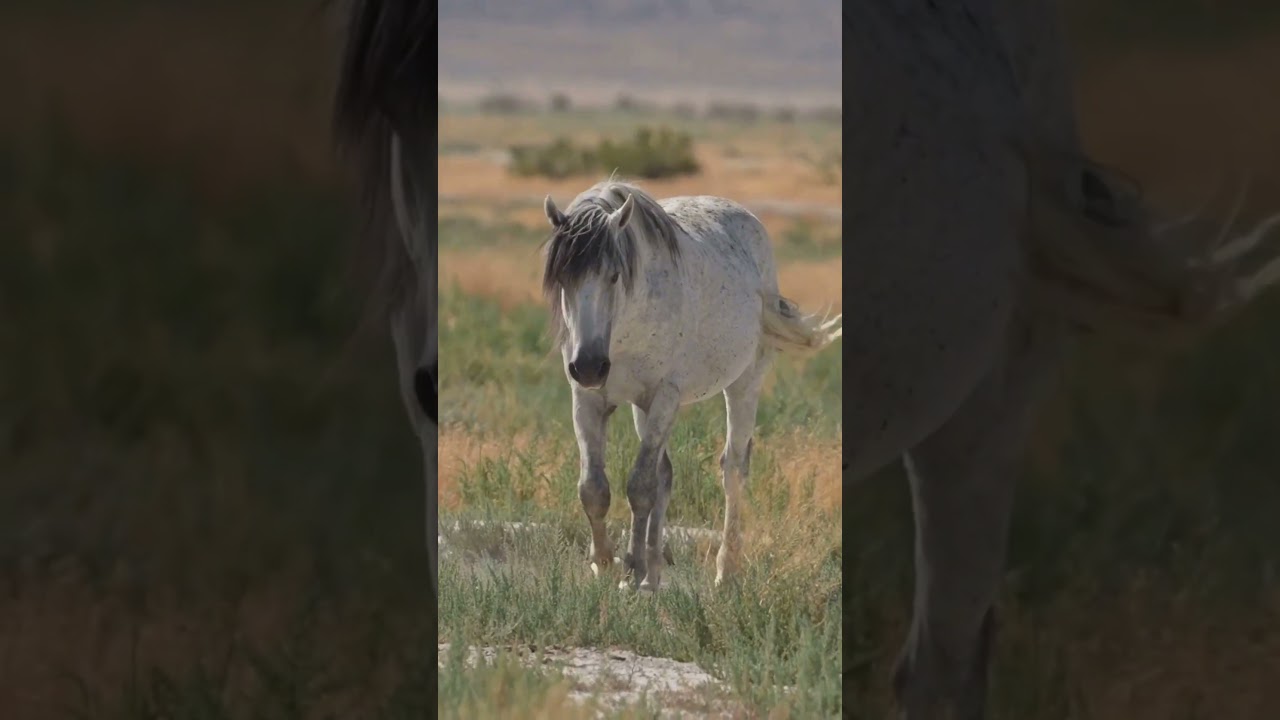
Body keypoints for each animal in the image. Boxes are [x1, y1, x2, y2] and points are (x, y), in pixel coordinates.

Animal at [539, 179, 842, 592]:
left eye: (615, 275)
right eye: (563, 278)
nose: (588, 366)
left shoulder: (665, 395)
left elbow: (640, 485)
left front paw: (630, 568)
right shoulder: (587, 399)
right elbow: (594, 488)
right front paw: (606, 564)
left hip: (743, 384)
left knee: (733, 470)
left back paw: (724, 572)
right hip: (642, 407)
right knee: (666, 474)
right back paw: (653, 575)